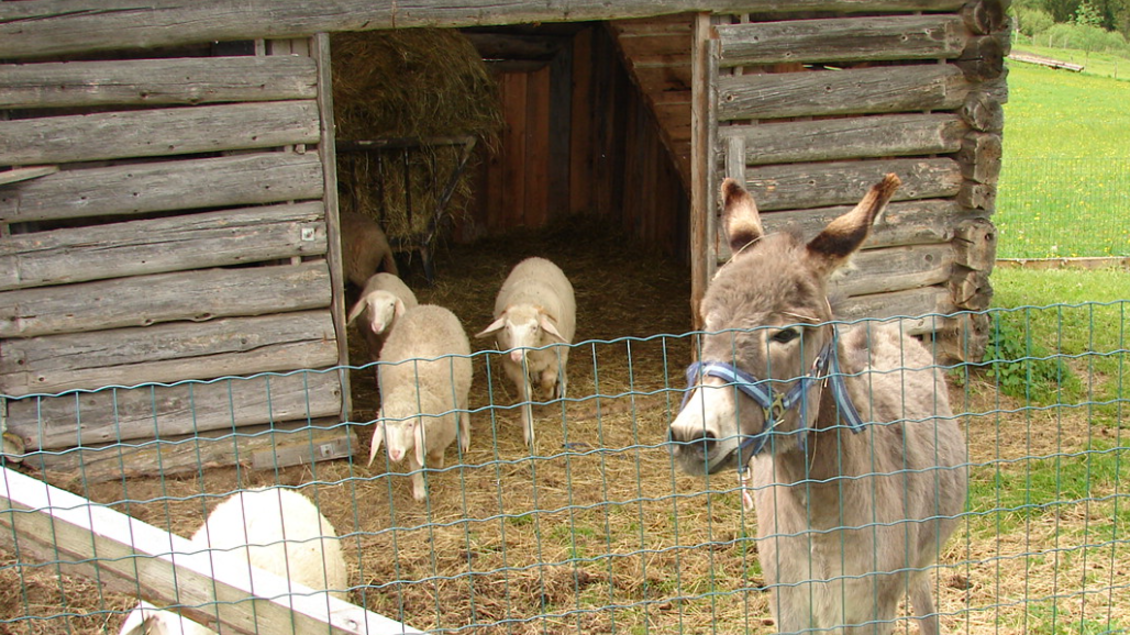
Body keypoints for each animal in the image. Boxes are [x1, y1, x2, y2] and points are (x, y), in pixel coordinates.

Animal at [369, 304, 473, 501]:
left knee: (463, 412)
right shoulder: (412, 444)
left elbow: (436, 456)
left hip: (463, 387)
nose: (394, 453)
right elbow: (414, 466)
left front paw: (435, 466)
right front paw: (419, 491)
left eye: (410, 425)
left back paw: (465, 439)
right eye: (385, 428)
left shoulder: (443, 429)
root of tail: (428, 306)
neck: (413, 384)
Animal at [475, 256, 575, 449]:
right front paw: (528, 433)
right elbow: (525, 393)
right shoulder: (512, 367)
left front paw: (549, 393)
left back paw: (561, 387)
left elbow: (548, 380)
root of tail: (536, 258)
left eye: (534, 327)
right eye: (507, 327)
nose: (516, 355)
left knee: (562, 368)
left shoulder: (555, 356)